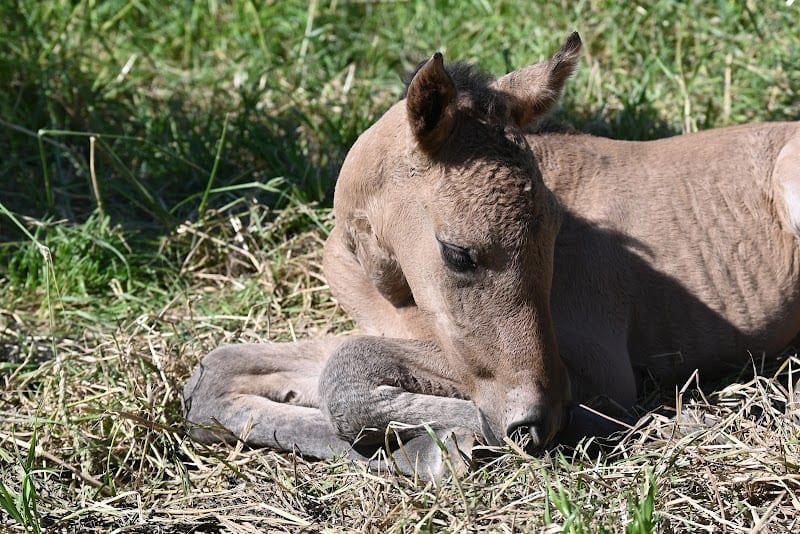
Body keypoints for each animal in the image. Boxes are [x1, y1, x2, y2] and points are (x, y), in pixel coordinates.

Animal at [183, 32, 800, 477]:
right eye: (458, 254)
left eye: (556, 232)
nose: (538, 422)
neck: (383, 286)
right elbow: (215, 377)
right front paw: (423, 448)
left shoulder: (597, 372)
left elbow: (348, 368)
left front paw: (449, 444)